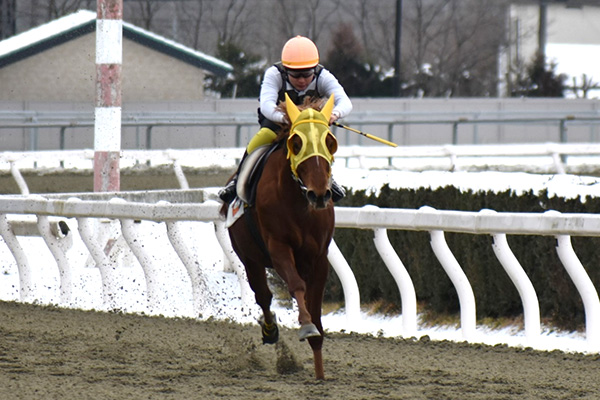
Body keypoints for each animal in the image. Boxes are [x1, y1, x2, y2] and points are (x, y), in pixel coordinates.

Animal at [220, 93, 338, 380]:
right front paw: (306, 326)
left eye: (330, 142)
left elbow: (315, 304)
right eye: (296, 143)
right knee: (263, 296)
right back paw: (270, 330)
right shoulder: (278, 247)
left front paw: (319, 370)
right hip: (250, 258)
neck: (299, 202)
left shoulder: (319, 257)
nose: (320, 194)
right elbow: (296, 286)